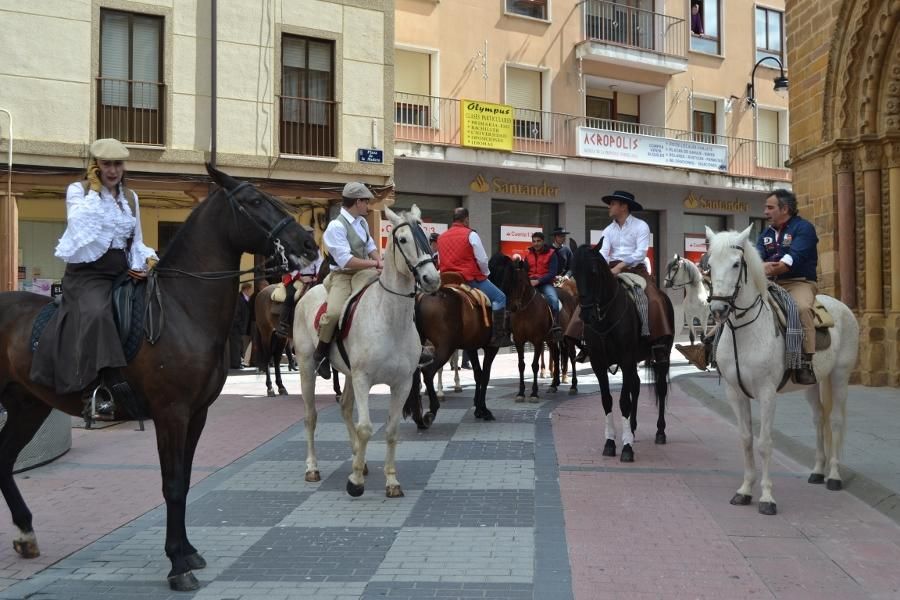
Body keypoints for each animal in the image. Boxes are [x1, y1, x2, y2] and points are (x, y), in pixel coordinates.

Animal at [0, 165, 320, 592]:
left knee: (4, 460)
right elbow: (171, 483)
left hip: (27, 406)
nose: (308, 242)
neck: (183, 309)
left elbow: (183, 480)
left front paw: (186, 551)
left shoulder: (196, 414)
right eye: (254, 201)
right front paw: (177, 565)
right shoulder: (171, 413)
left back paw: (25, 534)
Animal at [296, 206, 440, 496]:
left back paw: (358, 462)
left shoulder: (402, 383)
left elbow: (392, 430)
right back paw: (313, 468)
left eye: (428, 238)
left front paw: (391, 481)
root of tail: (307, 294)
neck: (389, 319)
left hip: (349, 375)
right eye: (403, 239)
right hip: (307, 367)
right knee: (310, 416)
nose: (431, 279)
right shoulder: (364, 380)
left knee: (344, 408)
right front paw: (355, 483)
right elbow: (365, 428)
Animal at [406, 282, 502, 426]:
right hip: (446, 347)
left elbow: (478, 374)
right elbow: (485, 376)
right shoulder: (491, 348)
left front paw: (478, 408)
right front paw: (484, 410)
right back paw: (432, 410)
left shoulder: (471, 347)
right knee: (428, 372)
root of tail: (422, 296)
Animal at [572, 241, 672, 462]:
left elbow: (624, 401)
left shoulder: (625, 359)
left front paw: (627, 448)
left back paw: (660, 432)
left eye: (593, 272)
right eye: (573, 272)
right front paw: (610, 443)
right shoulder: (599, 363)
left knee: (661, 389)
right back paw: (632, 429)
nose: (587, 315)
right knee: (635, 385)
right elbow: (607, 401)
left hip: (662, 355)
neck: (605, 316)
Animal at [704, 225, 856, 516]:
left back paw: (833, 476)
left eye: (736, 264)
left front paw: (766, 498)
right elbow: (745, 439)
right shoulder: (734, 392)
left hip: (840, 377)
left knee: (836, 421)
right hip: (813, 384)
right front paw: (744, 491)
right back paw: (817, 472)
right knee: (819, 420)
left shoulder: (767, 394)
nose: (718, 309)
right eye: (709, 265)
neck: (746, 331)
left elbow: (764, 443)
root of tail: (843, 307)